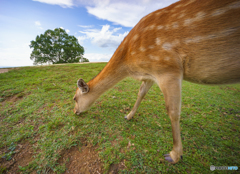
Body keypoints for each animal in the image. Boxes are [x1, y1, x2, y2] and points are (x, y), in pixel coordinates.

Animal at [73, 0, 240, 164]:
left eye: (74, 98)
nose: (75, 111)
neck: (130, 61)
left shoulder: (168, 68)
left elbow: (173, 111)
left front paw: (174, 155)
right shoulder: (151, 74)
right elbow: (140, 93)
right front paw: (128, 115)